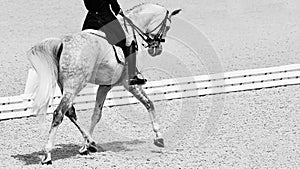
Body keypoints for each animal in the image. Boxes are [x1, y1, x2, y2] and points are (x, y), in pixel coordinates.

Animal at [27, 3, 180, 164]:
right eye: (167, 27)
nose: (156, 50)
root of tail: (62, 43)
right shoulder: (129, 83)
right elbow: (149, 103)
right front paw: (159, 137)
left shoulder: (105, 86)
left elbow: (96, 114)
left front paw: (86, 146)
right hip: (74, 86)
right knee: (59, 113)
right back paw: (48, 155)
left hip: (66, 87)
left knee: (69, 112)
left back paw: (91, 142)